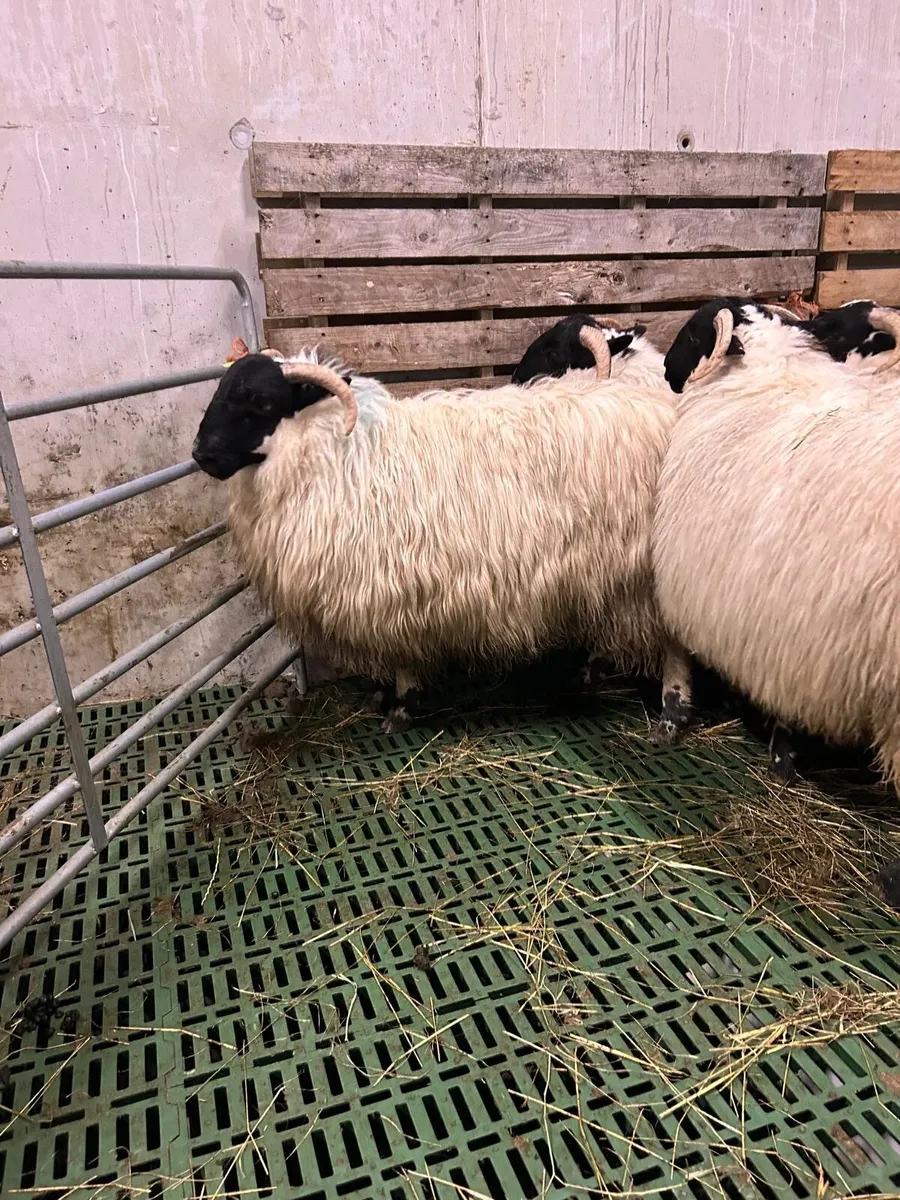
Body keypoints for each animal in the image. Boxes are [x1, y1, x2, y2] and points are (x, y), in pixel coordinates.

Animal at [192, 342, 692, 737]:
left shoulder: (393, 590)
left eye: (260, 401)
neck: (344, 455)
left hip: (660, 575)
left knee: (676, 646)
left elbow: (401, 661)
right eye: (220, 391)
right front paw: (382, 698)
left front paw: (400, 709)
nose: (201, 455)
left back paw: (672, 716)